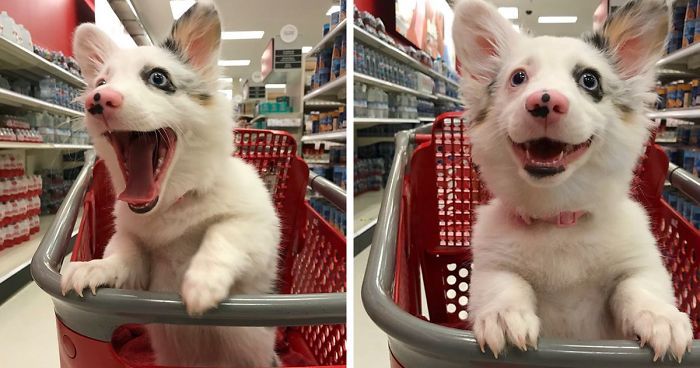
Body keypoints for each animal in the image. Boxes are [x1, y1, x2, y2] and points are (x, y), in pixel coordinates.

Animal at [58, 1, 282, 366]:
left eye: (158, 78)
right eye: (101, 81)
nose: (97, 98)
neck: (171, 203)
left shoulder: (257, 232)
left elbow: (223, 233)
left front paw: (202, 282)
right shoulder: (136, 256)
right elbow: (123, 254)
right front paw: (96, 267)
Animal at [454, 0, 696, 362]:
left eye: (589, 80)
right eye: (518, 78)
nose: (544, 100)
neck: (558, 216)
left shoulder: (641, 265)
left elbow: (638, 287)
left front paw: (660, 317)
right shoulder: (491, 267)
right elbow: (504, 285)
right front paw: (503, 314)